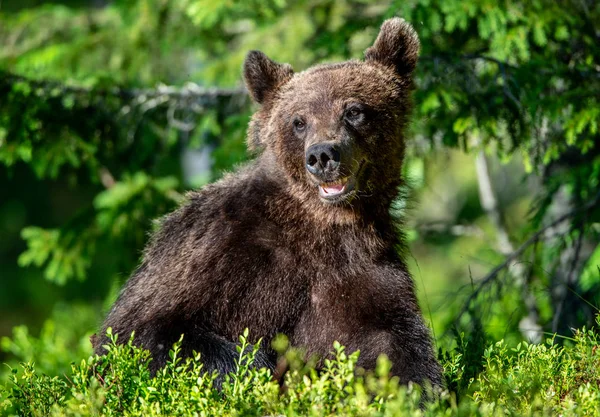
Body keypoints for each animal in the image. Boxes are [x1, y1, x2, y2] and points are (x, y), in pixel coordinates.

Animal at [92, 17, 440, 386]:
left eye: (354, 110)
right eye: (299, 120)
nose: (322, 155)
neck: (322, 224)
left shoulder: (360, 267)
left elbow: (391, 342)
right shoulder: (217, 248)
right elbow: (139, 330)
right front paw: (254, 369)